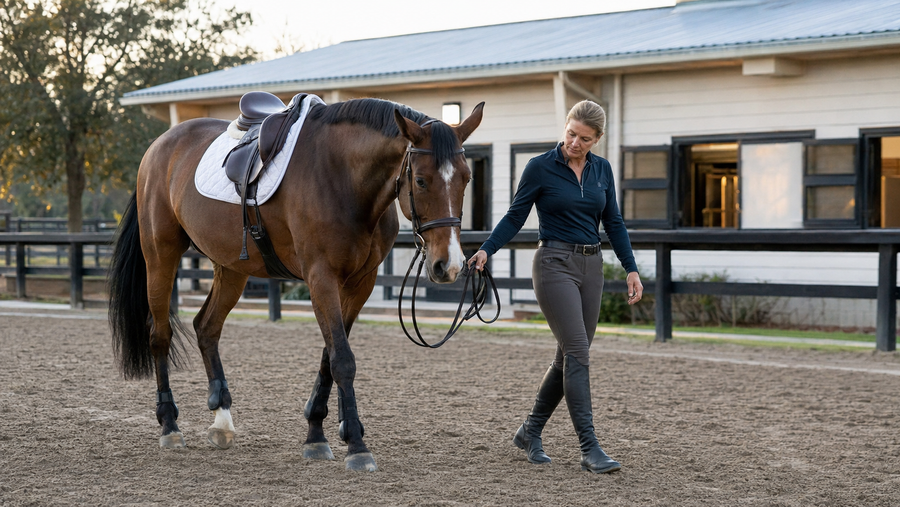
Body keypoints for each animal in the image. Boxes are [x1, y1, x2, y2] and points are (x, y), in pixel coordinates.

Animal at [107, 96, 484, 471]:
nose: (449, 265)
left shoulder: (359, 284)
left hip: (231, 267)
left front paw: (318, 432)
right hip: (161, 255)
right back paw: (170, 425)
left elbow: (329, 357)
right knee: (160, 336)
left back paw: (222, 420)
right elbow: (342, 359)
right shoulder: (321, 277)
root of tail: (159, 147)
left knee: (207, 327)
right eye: (420, 181)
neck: (344, 178)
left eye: (466, 179)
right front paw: (356, 445)